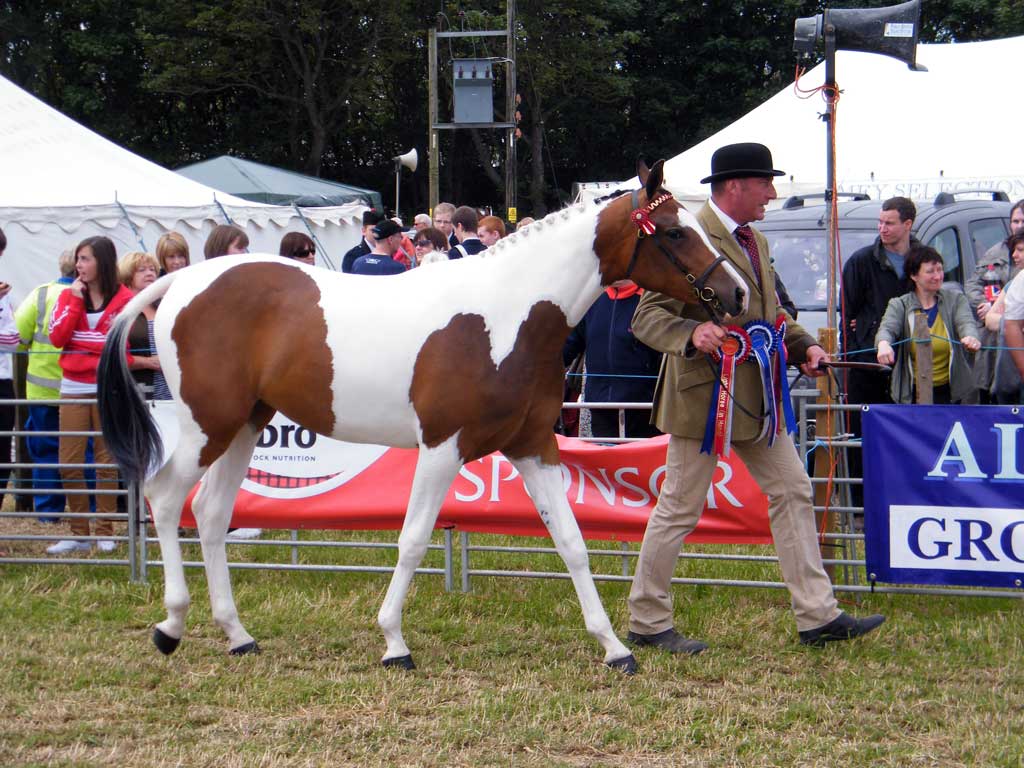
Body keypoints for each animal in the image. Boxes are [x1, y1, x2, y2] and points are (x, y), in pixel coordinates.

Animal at [99, 160, 749, 671]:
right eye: (674, 231)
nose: (738, 295)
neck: (504, 316)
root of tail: (184, 281)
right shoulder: (443, 447)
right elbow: (412, 540)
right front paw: (394, 643)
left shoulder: (533, 445)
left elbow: (571, 541)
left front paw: (615, 647)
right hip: (207, 425)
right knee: (164, 498)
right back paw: (170, 627)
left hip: (246, 424)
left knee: (210, 513)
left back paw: (237, 635)